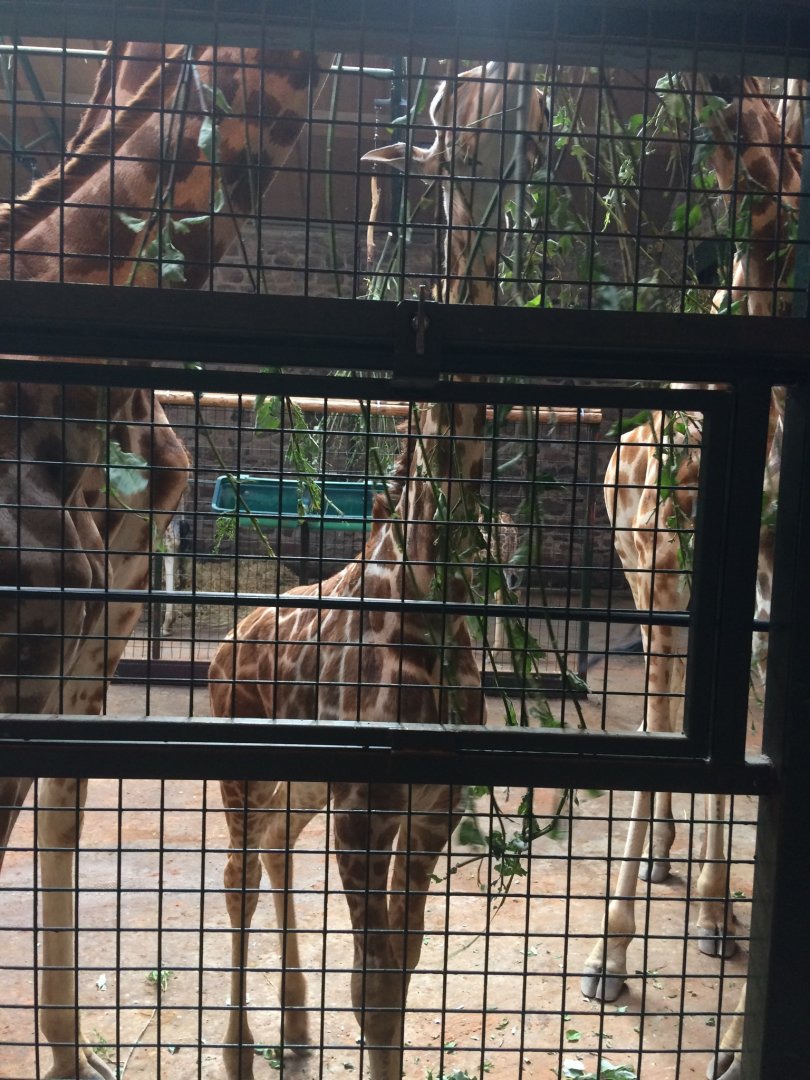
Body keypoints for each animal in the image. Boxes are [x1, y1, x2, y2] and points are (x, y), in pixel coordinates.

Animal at [209, 62, 546, 1080]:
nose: (507, 77)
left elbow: (395, 984)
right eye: (447, 117)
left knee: (275, 861)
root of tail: (224, 639)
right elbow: (375, 992)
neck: (430, 590)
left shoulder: (428, 808)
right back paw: (242, 1050)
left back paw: (293, 1030)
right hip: (239, 768)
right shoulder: (368, 807)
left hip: (297, 788)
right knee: (238, 876)